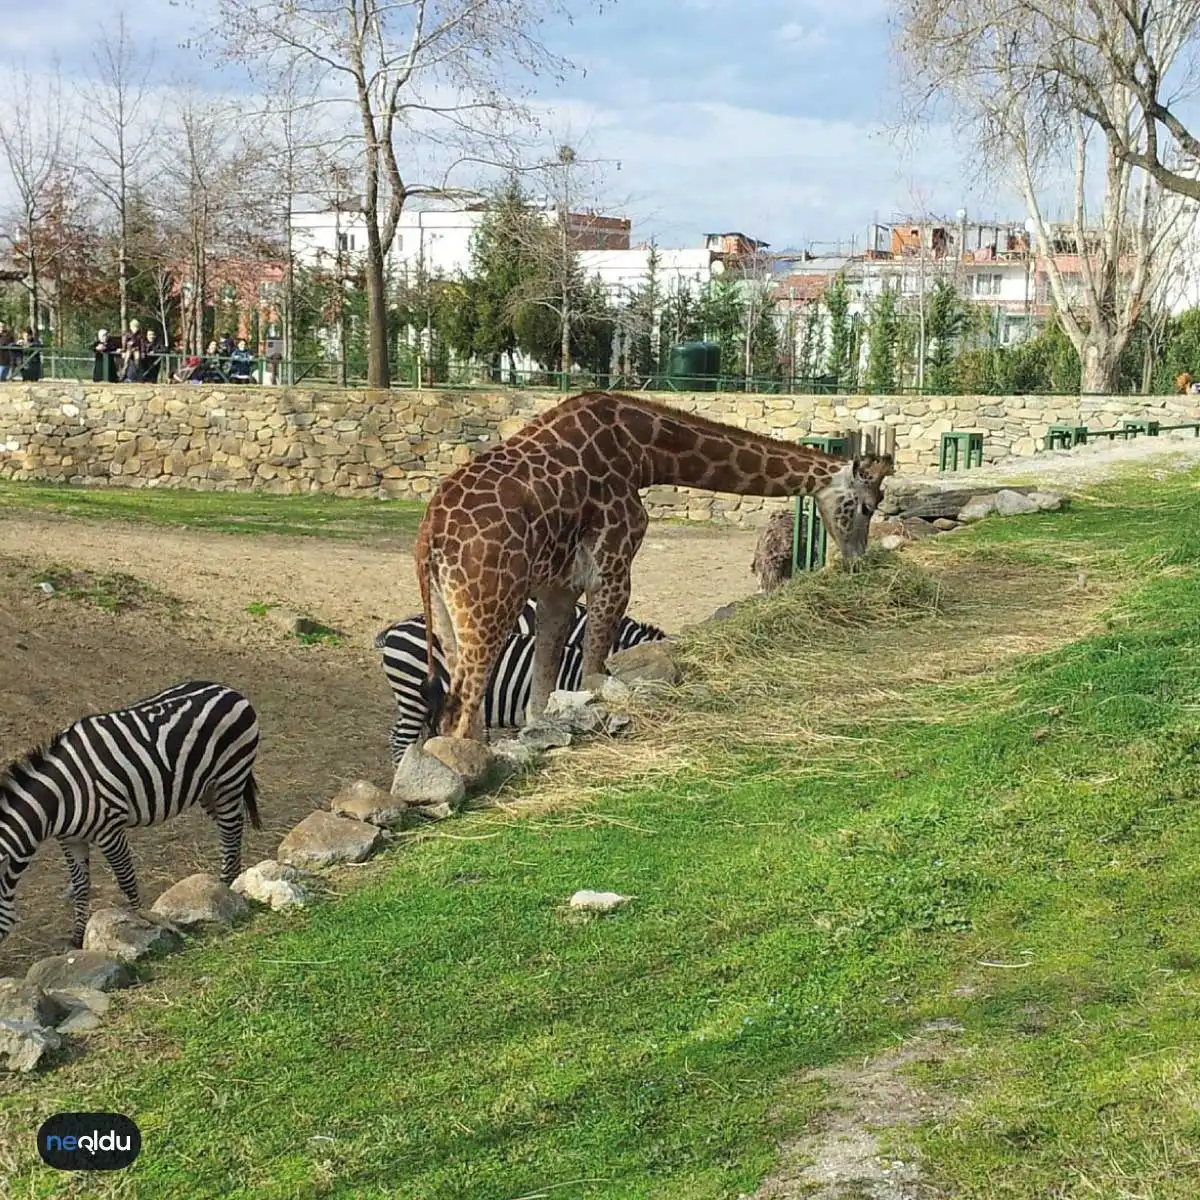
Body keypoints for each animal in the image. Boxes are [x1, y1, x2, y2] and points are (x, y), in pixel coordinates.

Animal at [0, 686, 261, 945]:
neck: (60, 797)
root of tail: (231, 691)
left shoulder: (110, 830)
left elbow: (126, 879)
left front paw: (140, 923)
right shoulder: (70, 840)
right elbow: (80, 886)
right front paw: (77, 937)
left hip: (229, 777)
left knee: (230, 831)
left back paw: (225, 885)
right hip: (209, 790)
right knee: (232, 829)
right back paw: (229, 885)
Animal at [412, 391, 892, 739]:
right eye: (868, 506)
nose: (858, 562)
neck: (644, 452)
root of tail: (428, 537)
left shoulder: (559, 585)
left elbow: (541, 695)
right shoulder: (613, 567)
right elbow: (591, 673)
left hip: (448, 615)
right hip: (489, 606)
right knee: (458, 711)